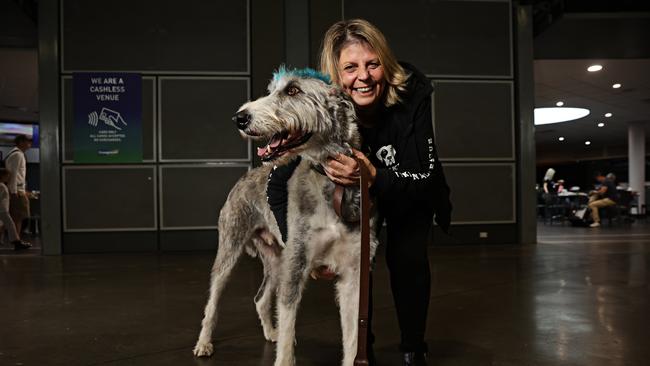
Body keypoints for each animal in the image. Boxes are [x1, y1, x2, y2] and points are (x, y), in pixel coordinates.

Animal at [190, 68, 378, 366]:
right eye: (271, 90)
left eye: (293, 91)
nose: (240, 118)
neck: (330, 184)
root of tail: (245, 177)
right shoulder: (296, 265)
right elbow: (288, 332)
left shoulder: (353, 273)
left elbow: (352, 338)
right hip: (231, 249)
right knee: (213, 301)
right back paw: (204, 343)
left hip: (278, 258)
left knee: (261, 298)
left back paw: (270, 332)